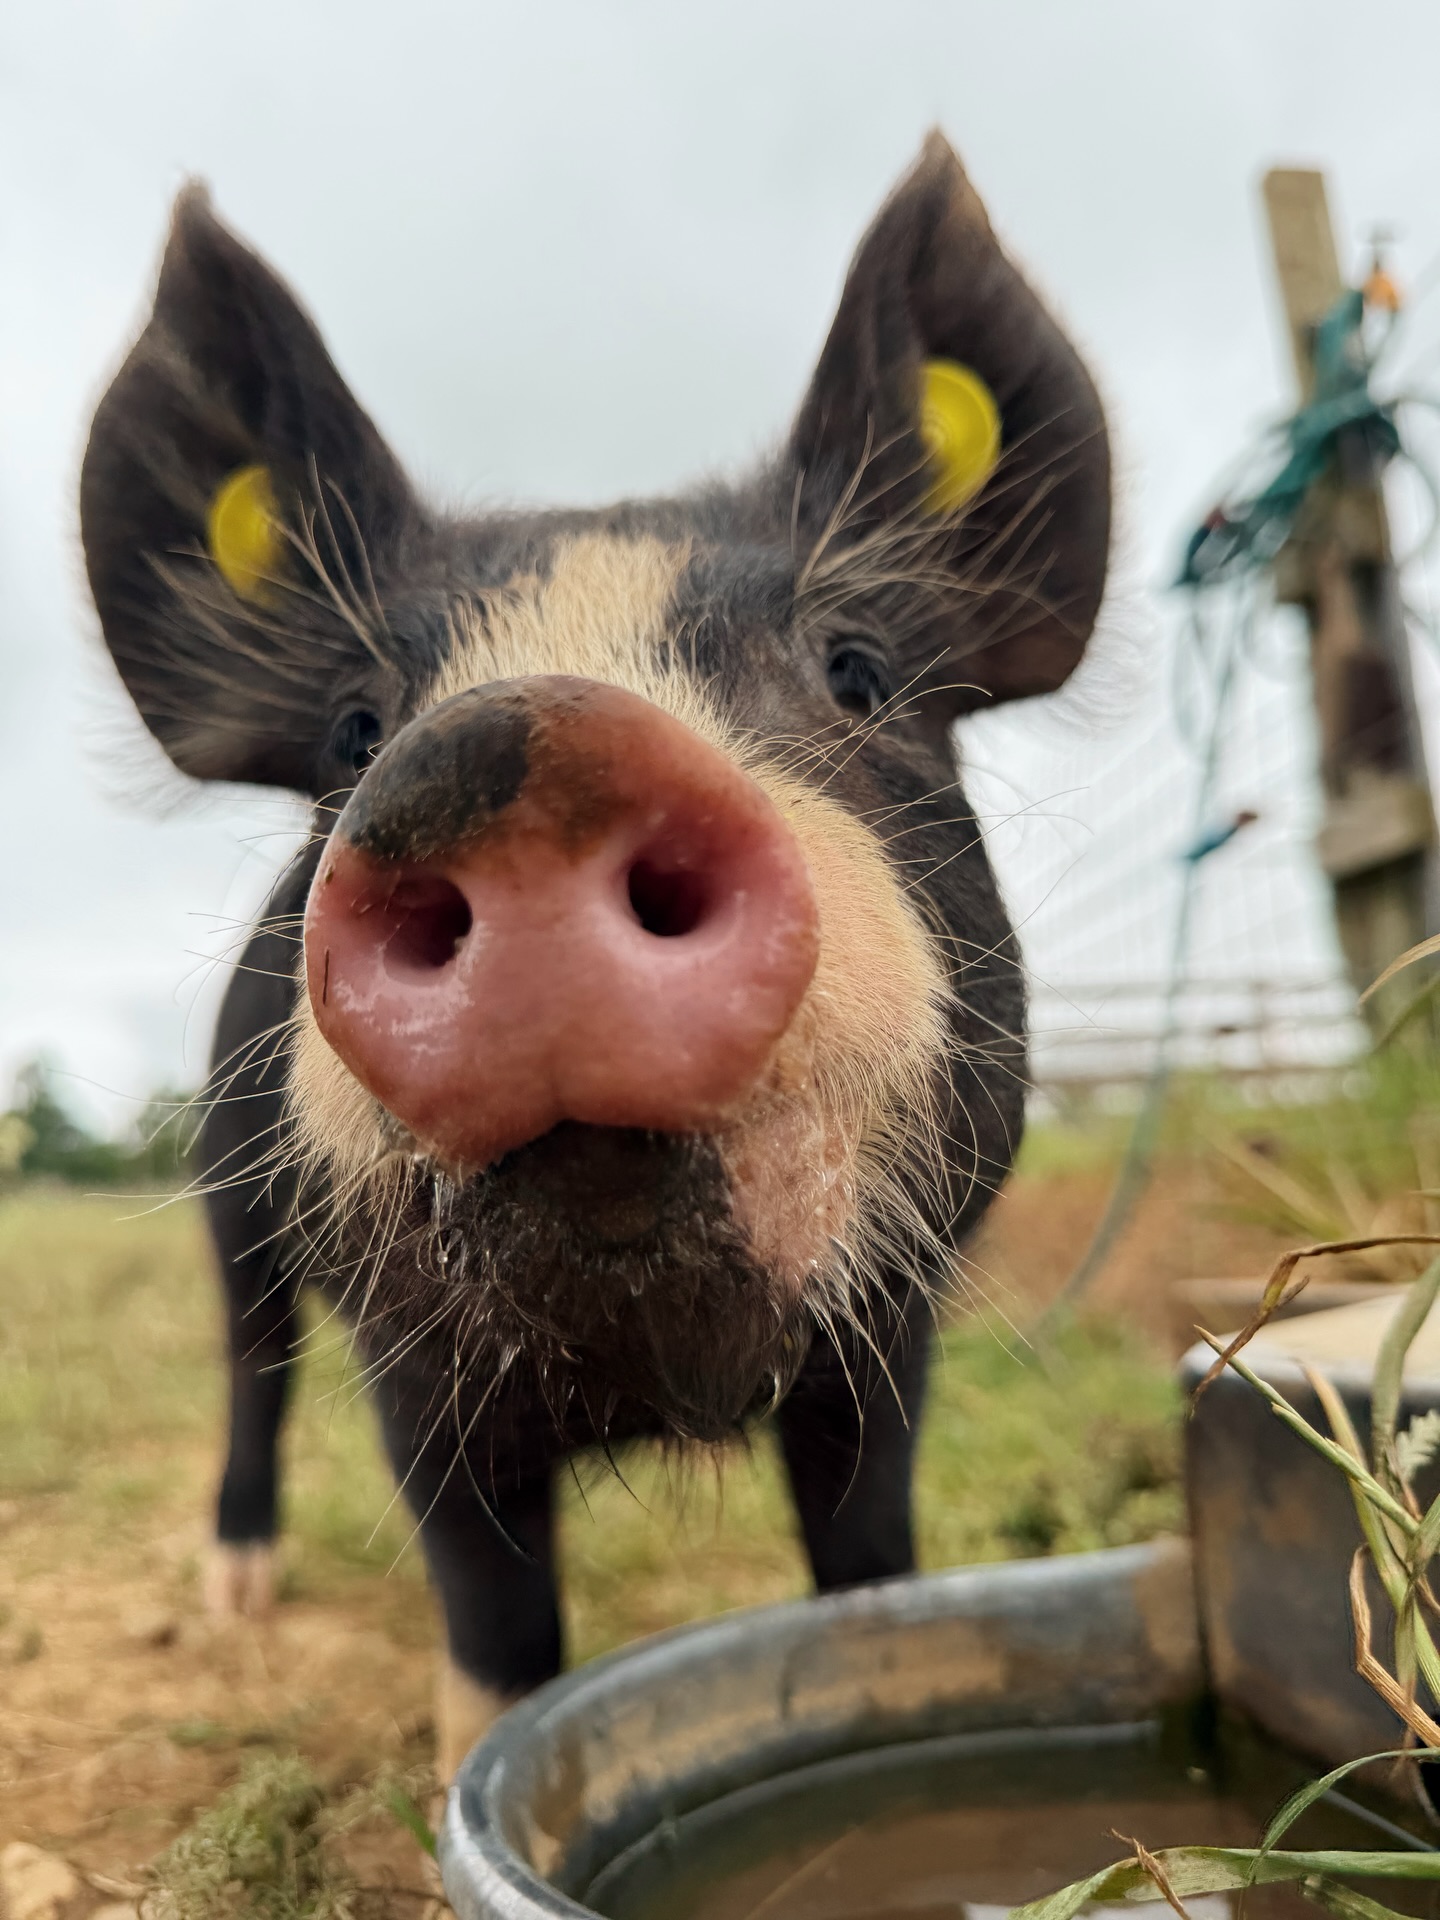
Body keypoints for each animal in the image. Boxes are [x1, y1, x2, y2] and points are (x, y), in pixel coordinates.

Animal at [80, 132, 1109, 1774]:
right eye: (356, 730)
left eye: (860, 671)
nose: (522, 743)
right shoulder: (414, 1370)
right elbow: (494, 1637)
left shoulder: (890, 1330)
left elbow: (867, 1564)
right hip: (227, 1184)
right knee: (252, 1354)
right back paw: (237, 1597)